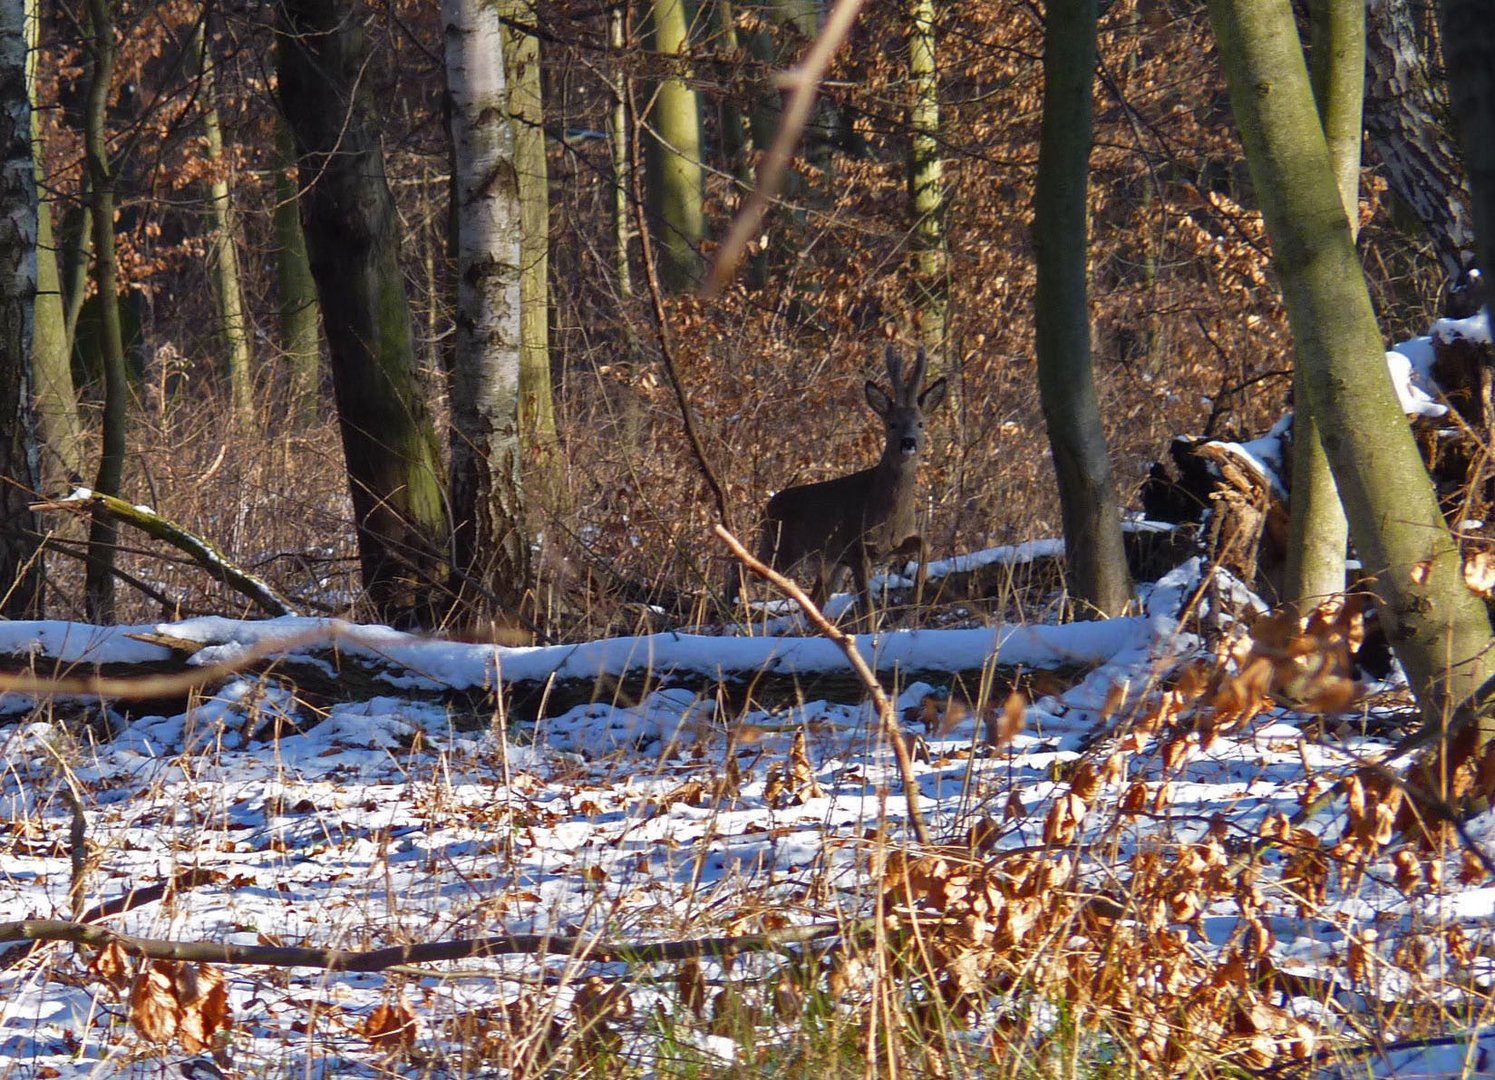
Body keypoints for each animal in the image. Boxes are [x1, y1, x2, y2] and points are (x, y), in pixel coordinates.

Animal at [732, 345, 944, 622]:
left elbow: (924, 544)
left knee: (814, 601)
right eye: (892, 423)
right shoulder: (856, 548)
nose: (908, 442)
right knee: (740, 566)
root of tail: (768, 505)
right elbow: (868, 609)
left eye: (920, 423)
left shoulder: (888, 546)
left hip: (825, 561)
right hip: (781, 547)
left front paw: (915, 603)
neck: (888, 514)